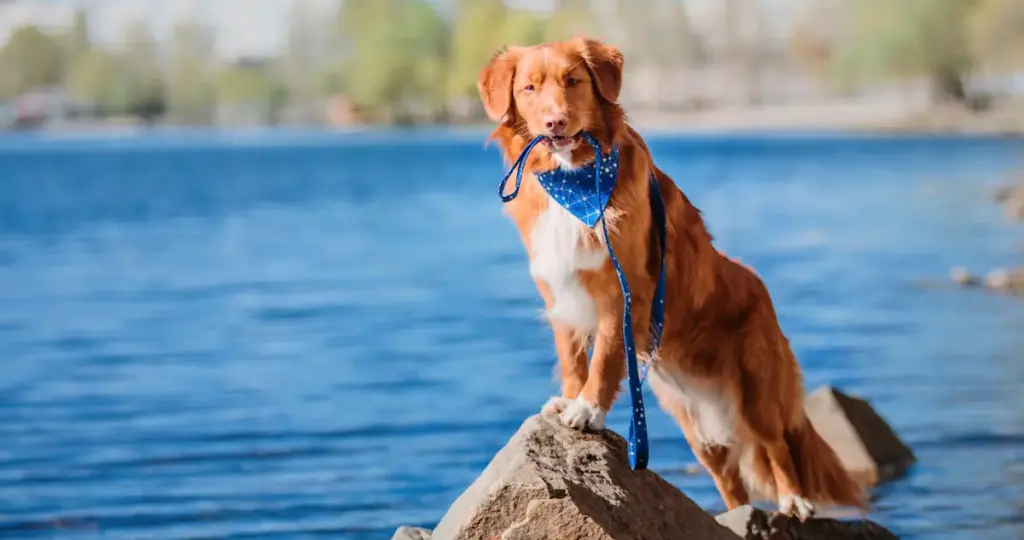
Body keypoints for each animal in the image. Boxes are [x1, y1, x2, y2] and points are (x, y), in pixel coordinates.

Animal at [475, 37, 868, 520]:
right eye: (529, 88)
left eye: (573, 80)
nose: (556, 121)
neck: (576, 181)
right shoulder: (560, 292)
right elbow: (574, 358)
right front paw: (570, 398)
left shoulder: (622, 293)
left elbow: (603, 358)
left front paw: (588, 409)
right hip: (695, 423)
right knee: (730, 480)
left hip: (756, 391)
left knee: (776, 447)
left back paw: (794, 501)